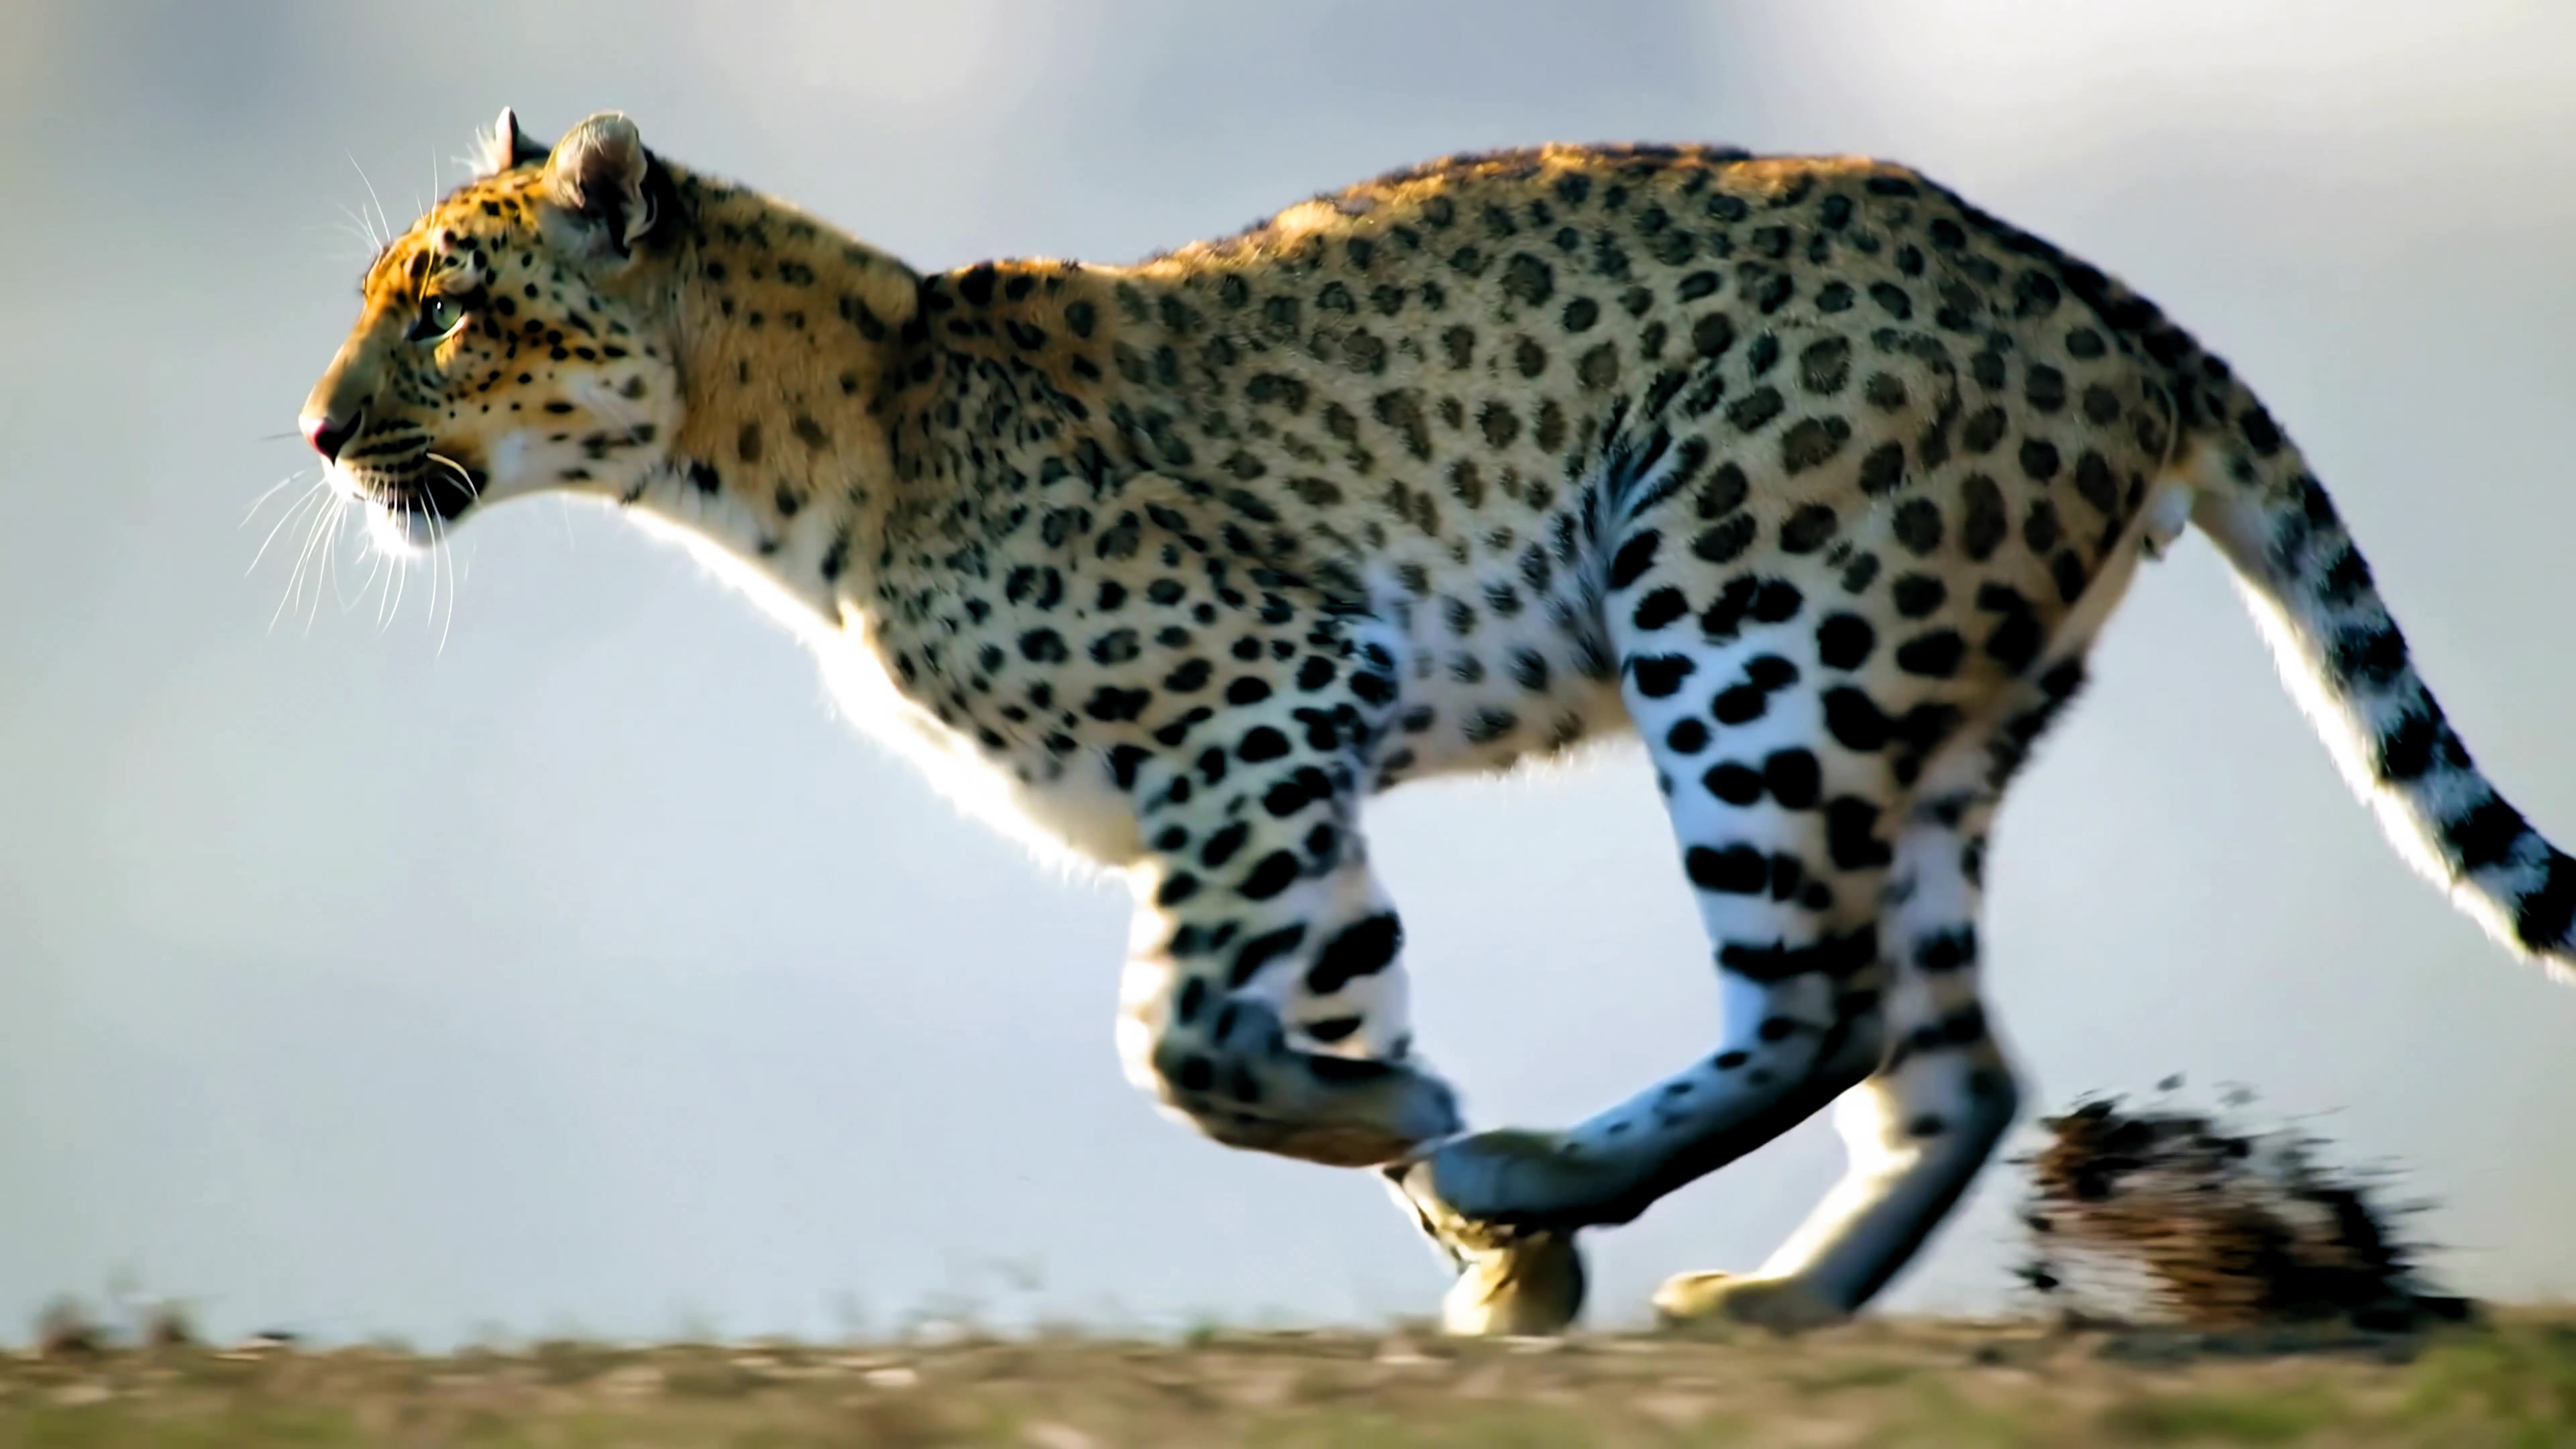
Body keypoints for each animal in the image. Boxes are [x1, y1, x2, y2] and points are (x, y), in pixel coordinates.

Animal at [298, 109, 2576, 1336]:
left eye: (449, 308)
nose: (317, 433)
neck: (784, 464)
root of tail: (2099, 294)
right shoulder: (1282, 794)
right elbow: (1323, 1001)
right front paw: (1484, 1248)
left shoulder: (1272, 697)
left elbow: (1175, 1041)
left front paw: (1452, 1156)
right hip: (1913, 722)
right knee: (1948, 1057)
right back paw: (1764, 1295)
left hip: (1751, 623)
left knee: (1818, 1003)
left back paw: (1556, 1159)